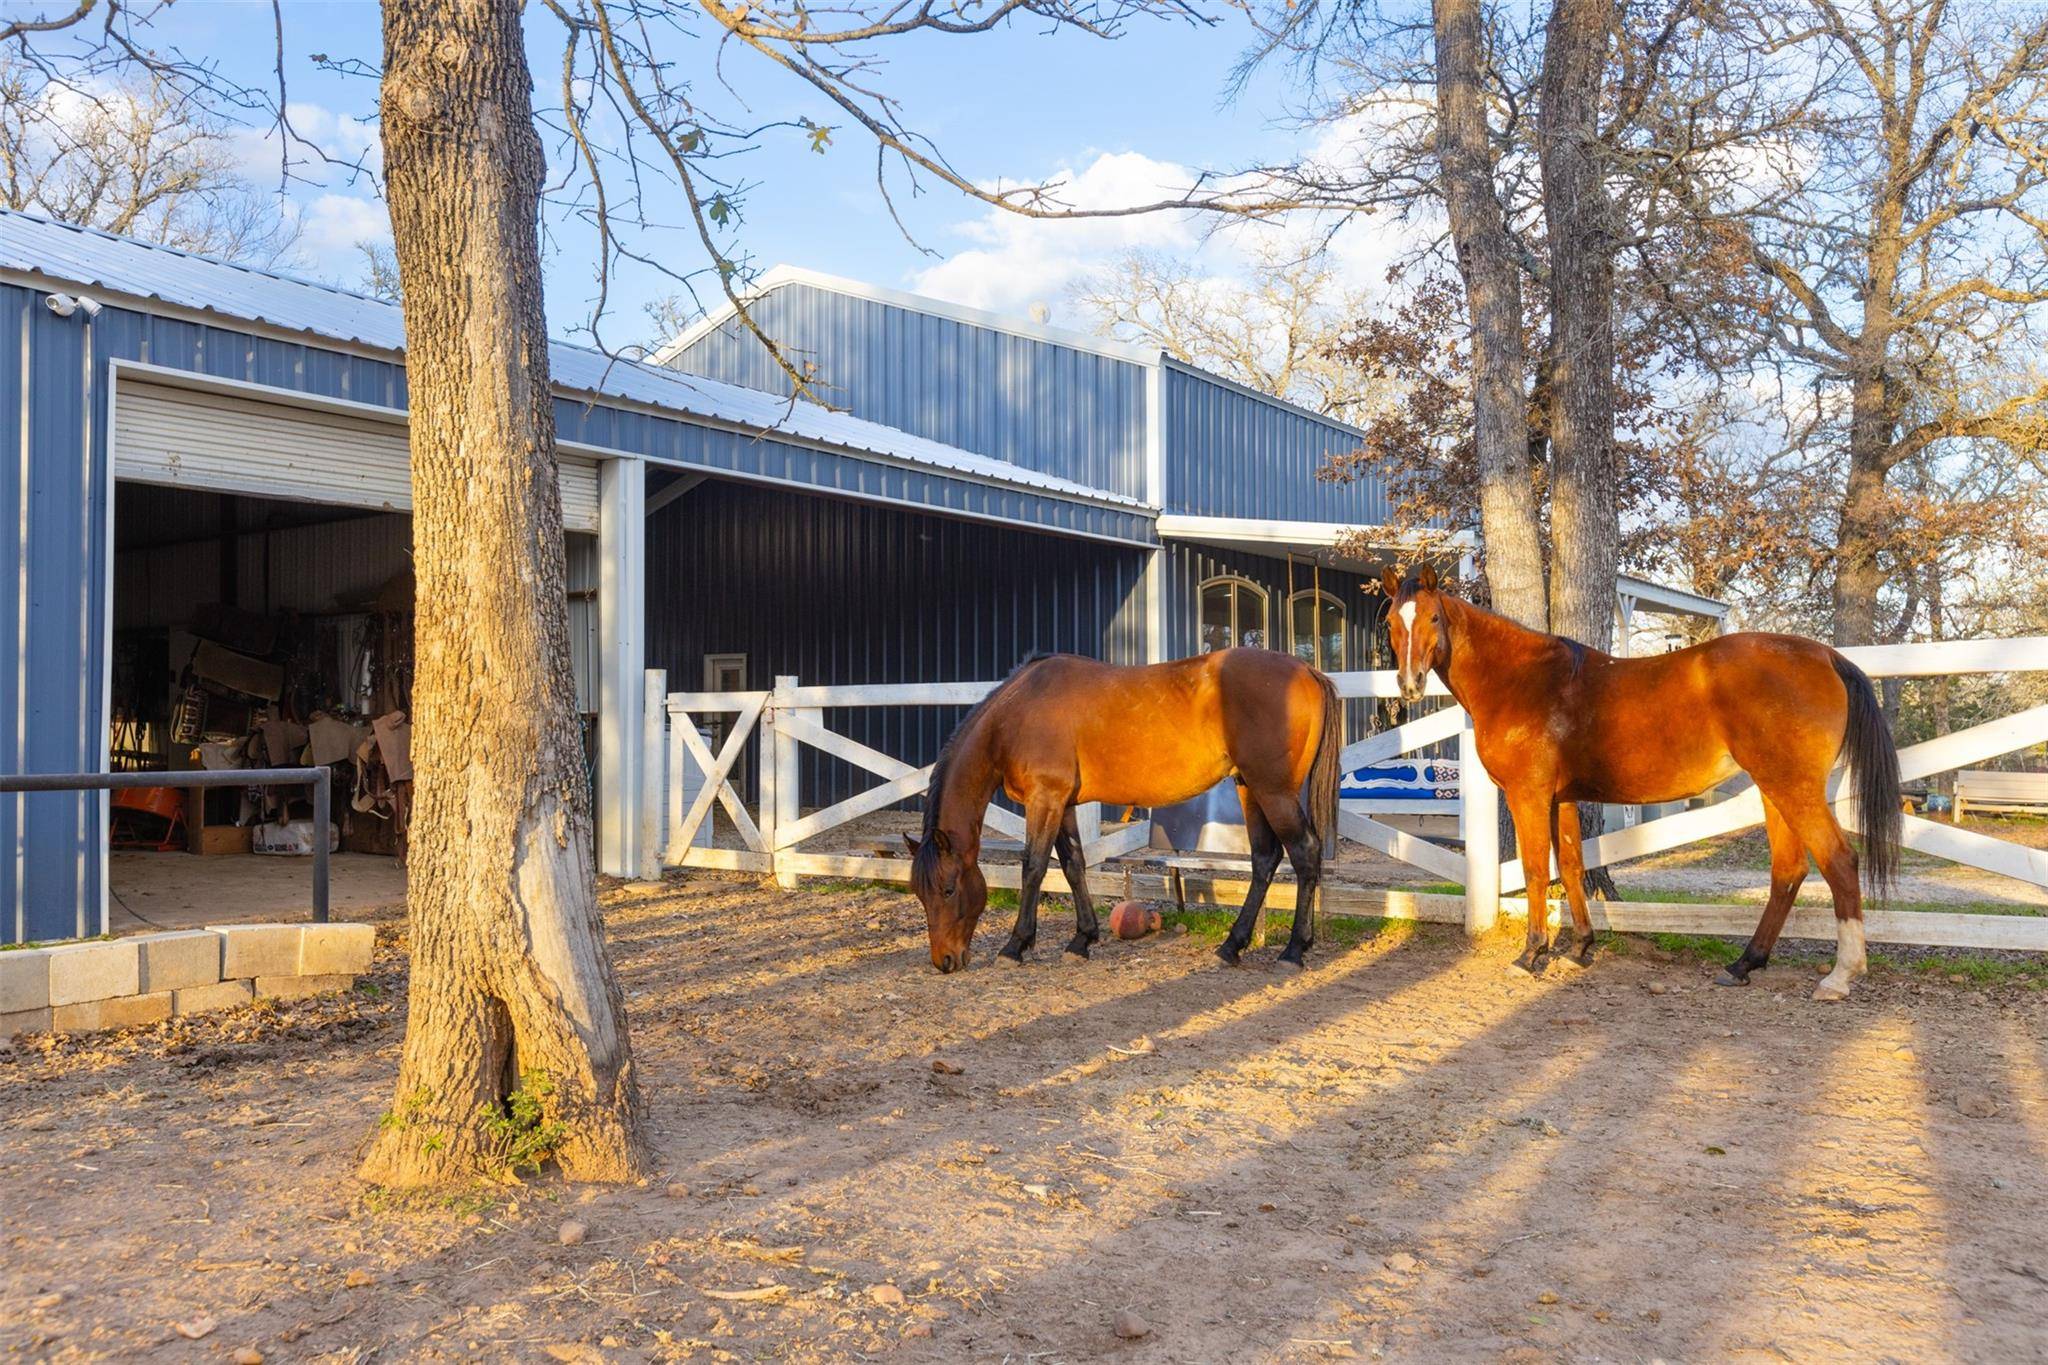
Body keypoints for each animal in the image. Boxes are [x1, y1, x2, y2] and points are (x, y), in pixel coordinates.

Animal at [913, 650, 1343, 970]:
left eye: (948, 889)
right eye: (920, 894)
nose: (945, 961)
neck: (1018, 711)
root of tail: (1307, 670)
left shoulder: (1045, 799)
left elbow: (1033, 867)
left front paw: (1015, 945)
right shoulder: (1062, 805)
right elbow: (1073, 865)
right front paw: (1082, 939)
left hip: (1273, 791)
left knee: (1303, 853)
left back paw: (1293, 951)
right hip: (1249, 788)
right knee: (1264, 859)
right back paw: (1232, 946)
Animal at [1384, 564, 1892, 1002]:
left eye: (1433, 617)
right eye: (1391, 621)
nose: (1409, 685)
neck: (1522, 680)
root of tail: (1824, 654)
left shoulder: (1528, 795)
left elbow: (1534, 871)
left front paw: (1531, 955)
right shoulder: (1562, 799)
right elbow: (1571, 866)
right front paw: (1579, 949)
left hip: (1793, 788)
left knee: (1838, 861)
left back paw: (1840, 976)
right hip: (1773, 789)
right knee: (1788, 871)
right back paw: (1744, 964)